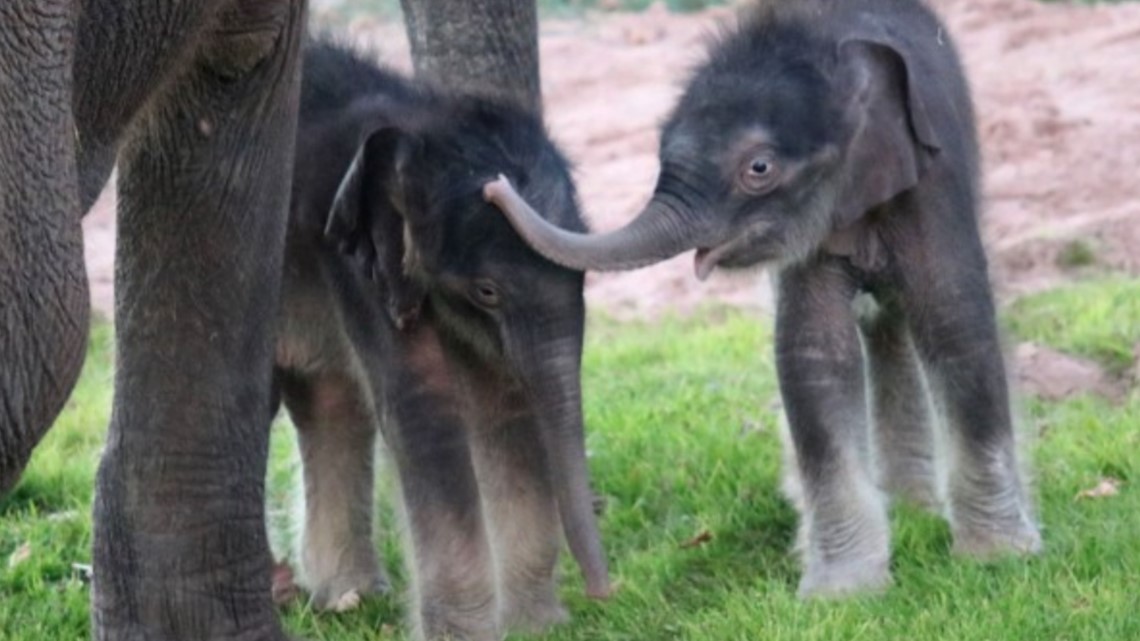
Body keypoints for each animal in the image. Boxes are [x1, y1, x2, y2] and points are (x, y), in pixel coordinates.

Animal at [272, 41, 611, 638]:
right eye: (486, 291)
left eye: (584, 277)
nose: (605, 593)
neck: (415, 121)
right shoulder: (353, 258)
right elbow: (423, 410)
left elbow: (499, 401)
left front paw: (535, 626)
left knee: (328, 400)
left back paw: (348, 598)